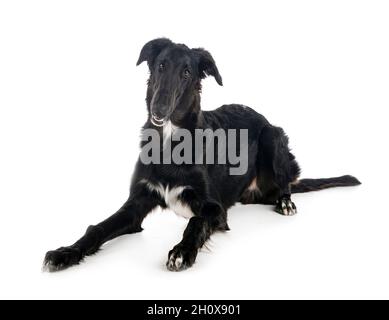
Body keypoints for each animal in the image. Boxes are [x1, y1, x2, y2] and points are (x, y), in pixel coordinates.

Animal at [43, 38, 360, 272]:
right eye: (160, 66)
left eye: (186, 73)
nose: (158, 109)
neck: (169, 142)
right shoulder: (136, 203)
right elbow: (97, 227)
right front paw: (66, 252)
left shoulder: (215, 208)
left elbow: (195, 222)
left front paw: (182, 251)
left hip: (273, 135)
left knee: (285, 184)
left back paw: (285, 202)